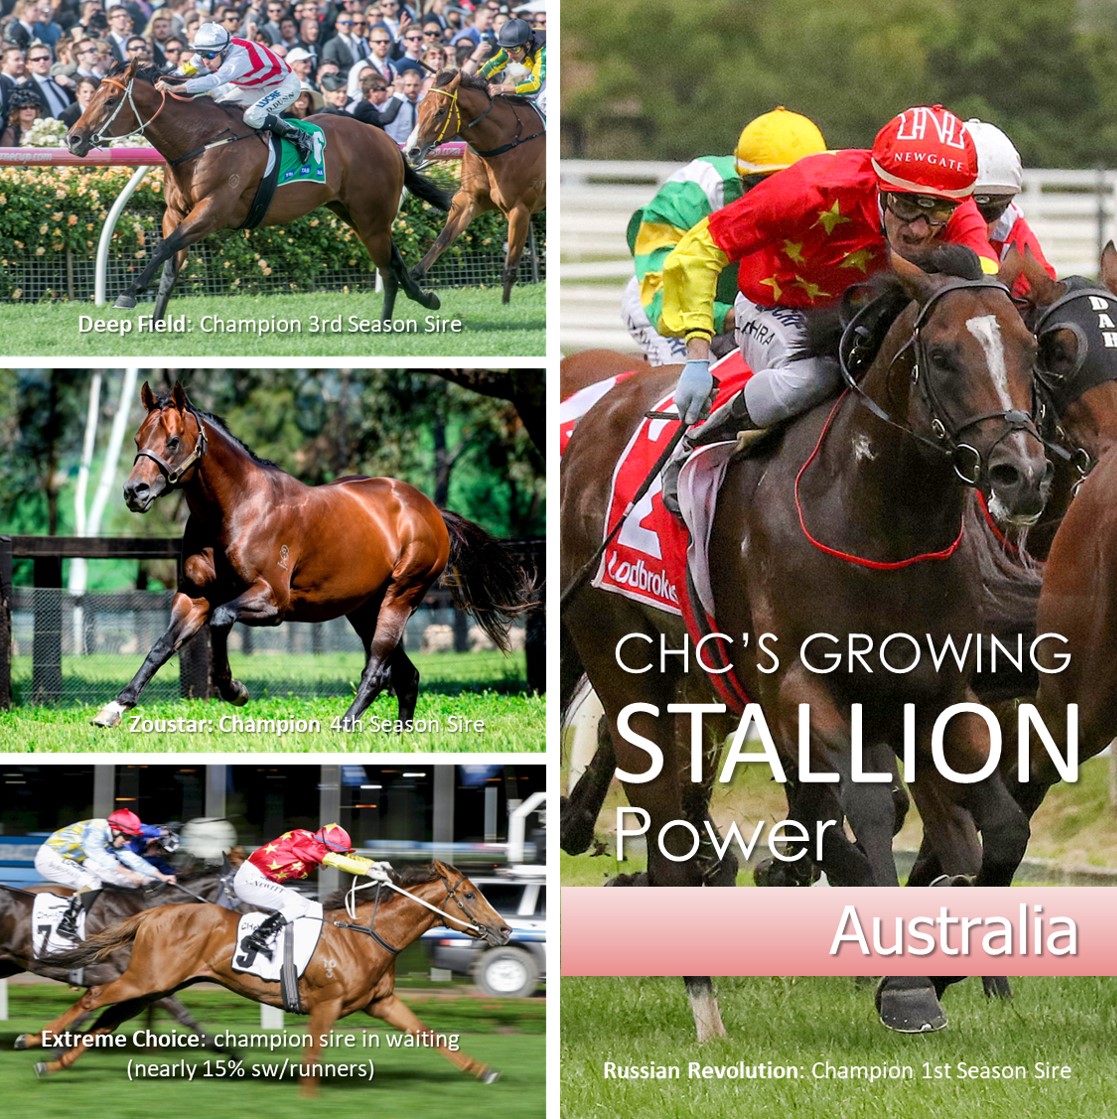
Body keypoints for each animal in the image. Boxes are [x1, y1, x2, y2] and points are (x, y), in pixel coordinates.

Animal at [33, 861, 510, 1095]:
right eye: (470, 895)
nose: (504, 930)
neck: (366, 936)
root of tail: (152, 913)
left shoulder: (382, 1003)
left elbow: (428, 1034)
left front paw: (484, 1072)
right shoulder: (327, 1004)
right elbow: (313, 1054)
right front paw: (307, 1101)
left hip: (161, 983)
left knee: (107, 1020)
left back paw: (52, 1063)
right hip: (146, 978)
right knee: (94, 996)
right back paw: (36, 1038)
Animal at [65, 59, 450, 325]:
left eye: (110, 100)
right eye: (90, 95)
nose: (73, 138)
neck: (200, 141)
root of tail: (386, 139)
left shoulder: (213, 210)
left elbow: (164, 247)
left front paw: (128, 294)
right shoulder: (174, 213)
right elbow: (171, 263)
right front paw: (156, 321)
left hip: (370, 213)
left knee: (386, 267)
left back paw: (386, 320)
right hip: (352, 212)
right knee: (393, 256)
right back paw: (424, 297)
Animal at [92, 380, 534, 729]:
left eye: (172, 441)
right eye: (137, 441)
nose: (134, 493)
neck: (239, 509)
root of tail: (428, 509)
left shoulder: (272, 601)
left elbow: (220, 621)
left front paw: (234, 690)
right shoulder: (194, 597)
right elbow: (161, 647)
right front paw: (114, 707)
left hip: (400, 597)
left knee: (378, 669)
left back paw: (344, 725)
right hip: (364, 608)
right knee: (406, 675)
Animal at [409, 70, 545, 304]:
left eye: (440, 112)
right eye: (419, 108)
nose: (411, 150)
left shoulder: (519, 209)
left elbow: (510, 265)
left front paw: (505, 306)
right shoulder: (469, 199)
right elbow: (442, 240)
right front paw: (413, 282)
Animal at [561, 249, 1052, 1039]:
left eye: (1032, 351)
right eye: (944, 356)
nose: (1025, 476)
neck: (873, 515)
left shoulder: (933, 690)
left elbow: (1000, 829)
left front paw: (946, 966)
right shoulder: (799, 686)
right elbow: (867, 812)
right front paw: (903, 984)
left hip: (704, 688)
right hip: (624, 665)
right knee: (667, 824)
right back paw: (704, 1004)